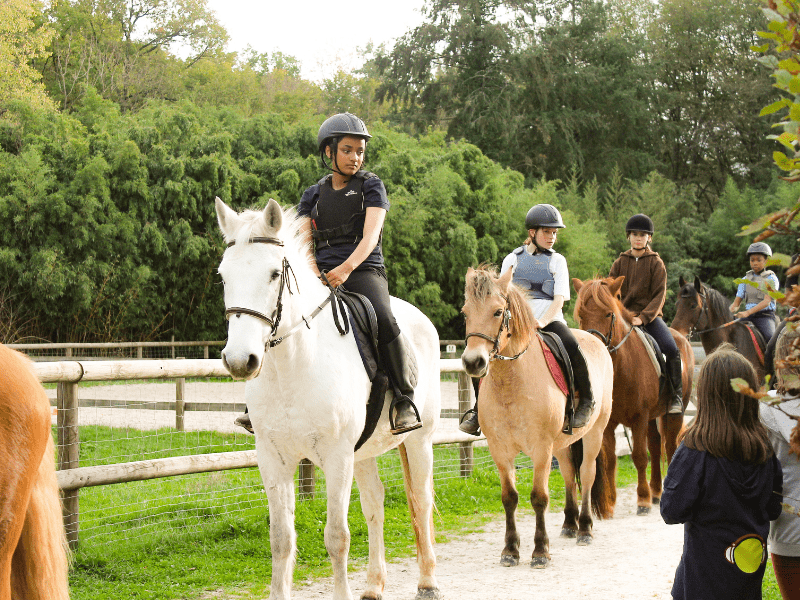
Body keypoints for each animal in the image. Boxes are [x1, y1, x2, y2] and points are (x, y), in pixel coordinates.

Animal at [216, 198, 444, 600]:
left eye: (273, 274)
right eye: (224, 276)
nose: (241, 361)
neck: (292, 367)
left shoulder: (337, 458)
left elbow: (337, 537)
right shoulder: (273, 459)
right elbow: (281, 539)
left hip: (419, 441)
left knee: (421, 499)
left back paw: (428, 582)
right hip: (364, 452)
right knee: (375, 504)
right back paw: (374, 585)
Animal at [572, 276, 696, 516]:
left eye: (608, 314)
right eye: (581, 315)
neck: (622, 368)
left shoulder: (639, 418)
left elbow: (639, 456)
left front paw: (643, 501)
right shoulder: (610, 423)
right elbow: (611, 459)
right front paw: (611, 503)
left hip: (674, 412)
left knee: (670, 446)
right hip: (652, 418)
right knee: (656, 448)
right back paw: (656, 491)